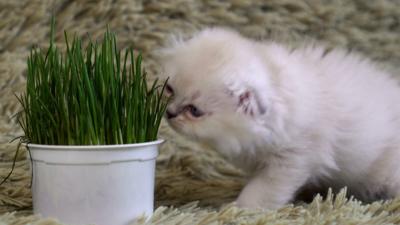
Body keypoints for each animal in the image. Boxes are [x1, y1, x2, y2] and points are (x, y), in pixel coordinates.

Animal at [158, 27, 400, 209]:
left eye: (194, 111)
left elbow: (261, 192)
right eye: (170, 90)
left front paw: (239, 209)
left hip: (384, 175)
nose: (169, 113)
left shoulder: (291, 161)